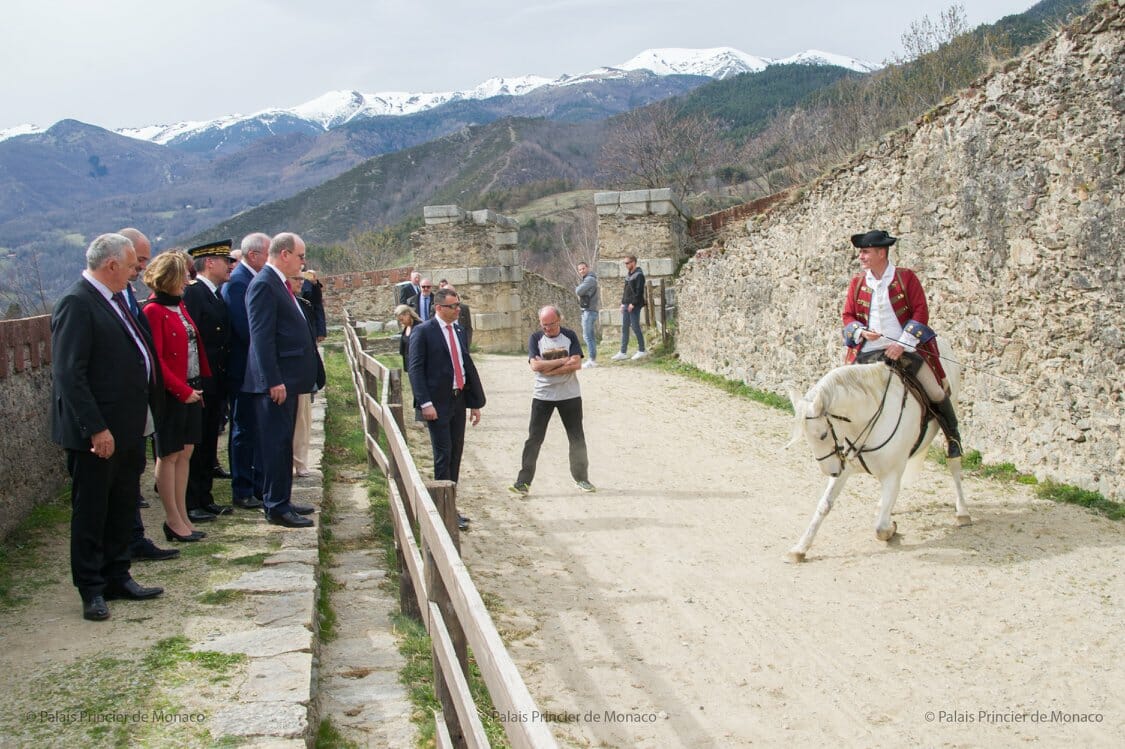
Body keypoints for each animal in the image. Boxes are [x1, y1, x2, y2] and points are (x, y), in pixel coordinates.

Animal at [792, 339, 967, 560]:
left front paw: (892, 529)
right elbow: (824, 505)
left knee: (954, 464)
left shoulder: (892, 473)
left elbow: (880, 528)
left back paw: (962, 511)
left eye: (823, 435)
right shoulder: (845, 467)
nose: (830, 471)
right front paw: (800, 548)